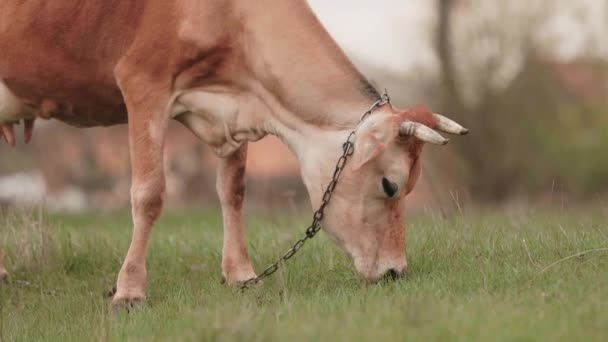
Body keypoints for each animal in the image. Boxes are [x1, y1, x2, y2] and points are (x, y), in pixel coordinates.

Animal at [0, 0, 468, 308]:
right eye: (390, 185)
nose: (396, 273)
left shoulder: (236, 109)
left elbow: (233, 190)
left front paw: (241, 274)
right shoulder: (143, 81)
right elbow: (149, 193)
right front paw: (129, 290)